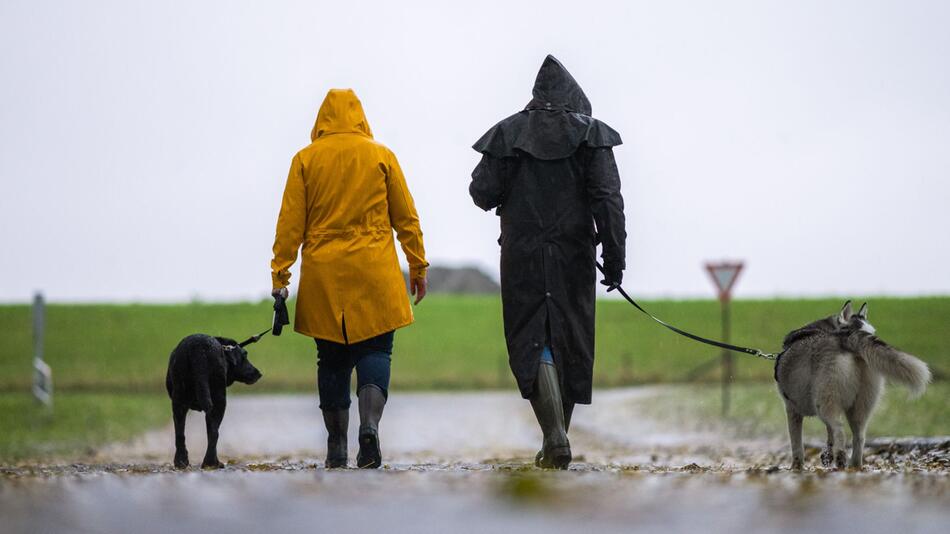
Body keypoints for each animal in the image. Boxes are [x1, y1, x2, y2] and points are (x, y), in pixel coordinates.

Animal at [164, 338, 260, 472]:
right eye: (244, 355)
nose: (258, 373)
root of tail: (198, 349)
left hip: (179, 400)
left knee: (180, 434)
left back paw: (181, 462)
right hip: (219, 400)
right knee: (214, 433)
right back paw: (211, 463)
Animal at [776, 304, 932, 472]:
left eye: (872, 332)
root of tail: (845, 338)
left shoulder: (792, 410)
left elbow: (797, 444)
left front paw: (796, 467)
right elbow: (829, 434)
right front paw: (827, 455)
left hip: (823, 403)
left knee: (839, 429)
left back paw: (840, 460)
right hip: (859, 407)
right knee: (859, 437)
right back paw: (854, 465)